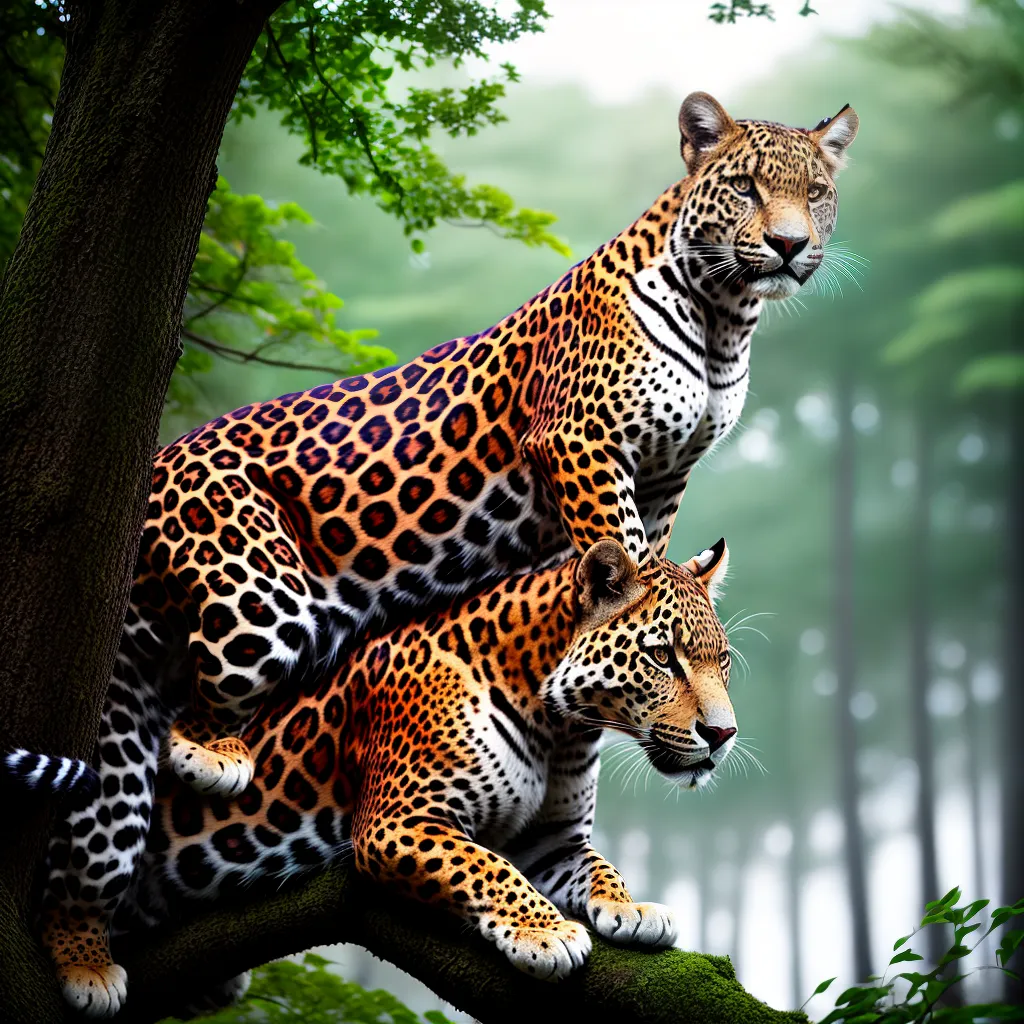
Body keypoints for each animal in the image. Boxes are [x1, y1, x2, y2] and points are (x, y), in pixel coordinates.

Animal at [17, 536, 734, 1015]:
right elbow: (490, 868)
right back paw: (88, 968)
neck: (557, 721)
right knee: (72, 885)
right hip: (113, 779)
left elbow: (595, 864)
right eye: (663, 657)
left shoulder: (552, 839)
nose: (722, 735)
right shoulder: (402, 819)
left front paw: (631, 908)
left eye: (722, 661)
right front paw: (547, 932)